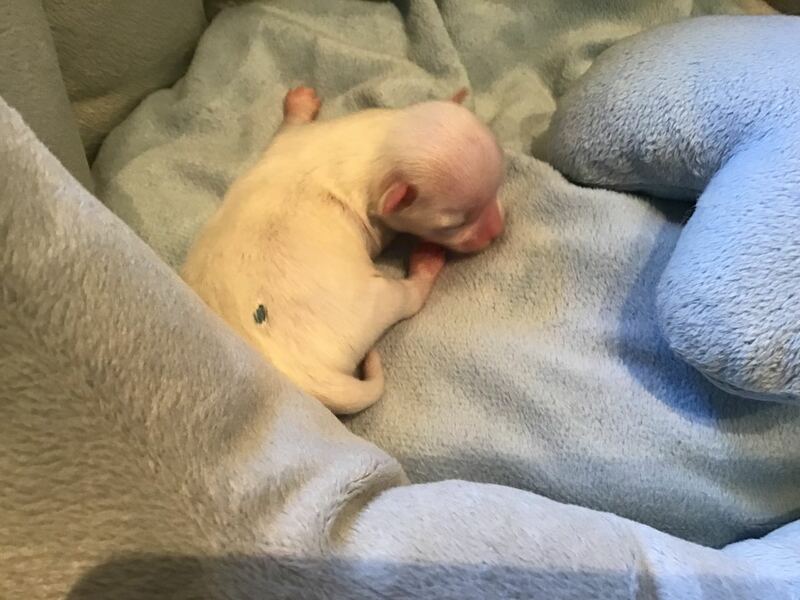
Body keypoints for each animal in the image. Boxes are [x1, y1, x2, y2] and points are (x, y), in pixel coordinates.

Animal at [181, 86, 505, 414]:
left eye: (498, 184)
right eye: (453, 224)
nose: (497, 232)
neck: (378, 144)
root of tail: (304, 378)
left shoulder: (297, 137)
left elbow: (289, 127)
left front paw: (300, 100)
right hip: (372, 301)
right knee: (407, 300)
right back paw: (425, 262)